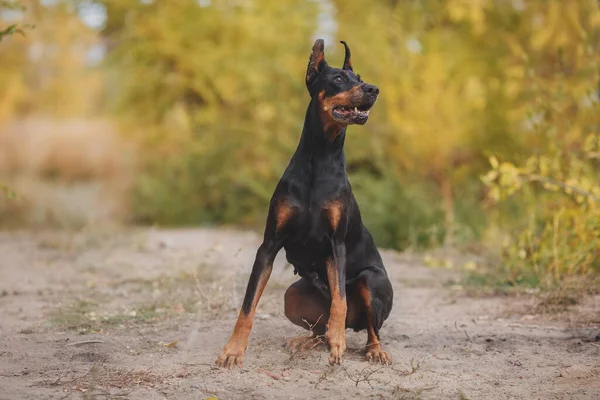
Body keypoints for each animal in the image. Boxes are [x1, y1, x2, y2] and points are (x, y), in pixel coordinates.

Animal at [216, 39, 394, 368]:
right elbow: (248, 305)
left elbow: (339, 299)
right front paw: (233, 350)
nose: (373, 89)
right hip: (293, 294)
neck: (320, 157)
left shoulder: (336, 244)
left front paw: (338, 344)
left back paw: (371, 348)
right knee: (318, 328)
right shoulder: (269, 244)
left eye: (360, 77)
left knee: (370, 327)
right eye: (338, 78)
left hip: (372, 280)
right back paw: (308, 341)